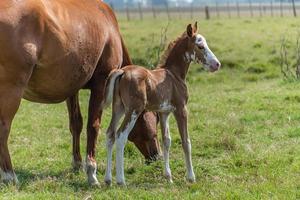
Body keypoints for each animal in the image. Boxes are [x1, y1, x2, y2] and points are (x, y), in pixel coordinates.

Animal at [0, 0, 159, 186]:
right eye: (154, 126)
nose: (156, 156)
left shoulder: (72, 88)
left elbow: (76, 123)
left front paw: (77, 163)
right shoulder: (101, 84)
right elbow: (93, 126)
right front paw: (91, 171)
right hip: (12, 90)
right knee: (3, 129)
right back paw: (9, 175)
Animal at [103, 22, 220, 184]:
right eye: (200, 46)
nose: (217, 64)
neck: (174, 74)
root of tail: (122, 72)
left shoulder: (164, 112)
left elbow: (166, 141)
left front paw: (168, 177)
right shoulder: (181, 109)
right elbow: (186, 141)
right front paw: (191, 177)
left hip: (118, 108)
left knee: (110, 134)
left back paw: (108, 179)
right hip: (133, 110)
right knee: (121, 136)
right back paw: (121, 180)